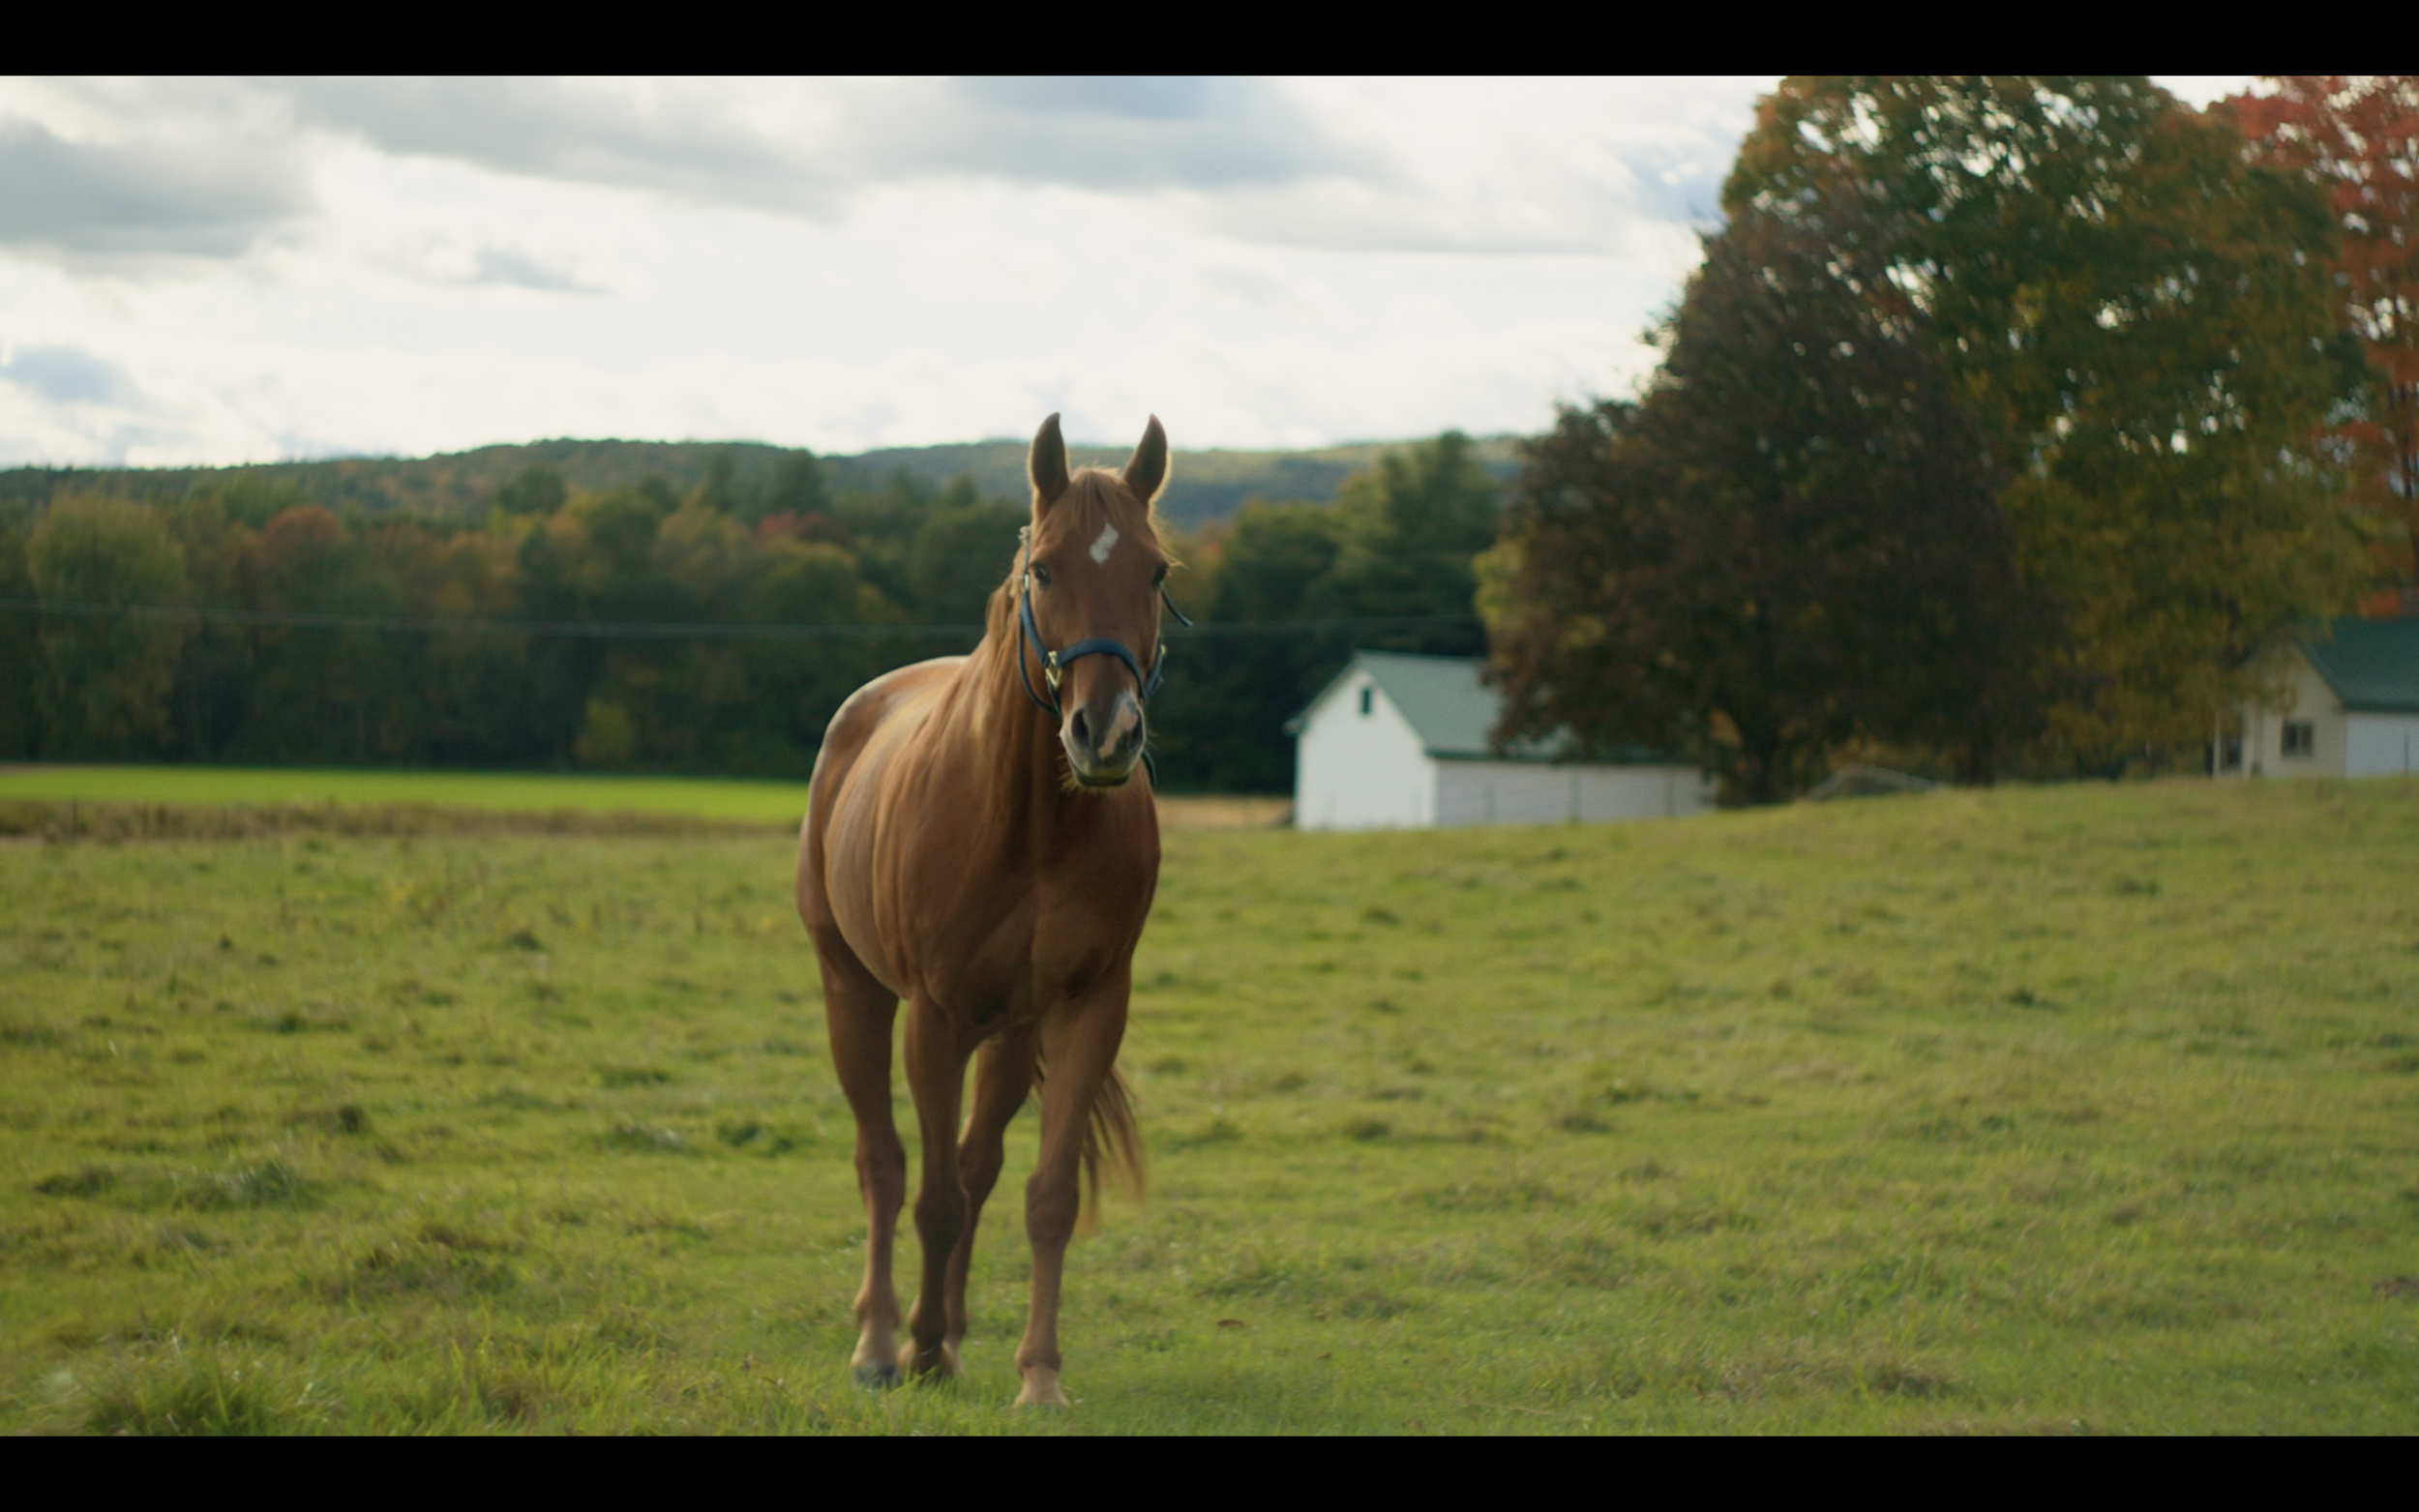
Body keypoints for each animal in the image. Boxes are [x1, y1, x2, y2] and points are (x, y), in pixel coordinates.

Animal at [795, 413, 1174, 1408]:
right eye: (1043, 568)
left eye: (1156, 571)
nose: (1106, 734)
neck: (1032, 822)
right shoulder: (931, 1014)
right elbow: (929, 1195)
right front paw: (913, 1348)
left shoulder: (1087, 1008)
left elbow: (1043, 1195)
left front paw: (1036, 1374)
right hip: (854, 994)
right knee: (885, 1165)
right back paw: (883, 1341)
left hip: (1008, 1031)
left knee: (977, 1163)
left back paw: (951, 1334)